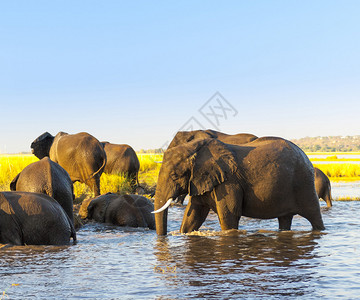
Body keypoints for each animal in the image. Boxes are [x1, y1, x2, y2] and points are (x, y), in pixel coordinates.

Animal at [153, 137, 324, 236]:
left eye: (175, 176)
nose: (164, 237)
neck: (196, 149)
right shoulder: (202, 180)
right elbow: (194, 214)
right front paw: (183, 233)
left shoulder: (228, 182)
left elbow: (229, 215)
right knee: (285, 219)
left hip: (304, 183)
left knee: (314, 216)